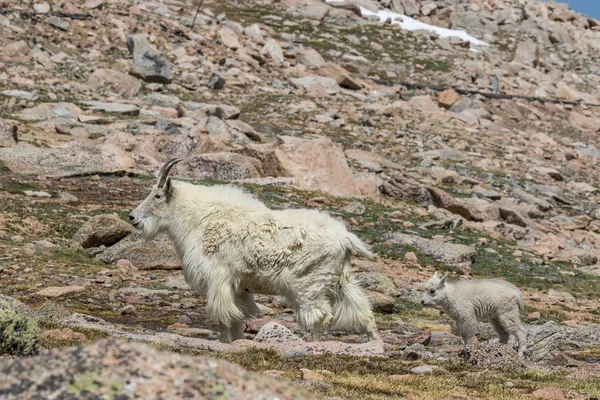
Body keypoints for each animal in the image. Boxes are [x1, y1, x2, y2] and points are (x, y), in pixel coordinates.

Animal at [130, 159, 380, 344]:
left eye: (157, 196)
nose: (132, 217)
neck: (198, 219)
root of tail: (346, 239)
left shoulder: (218, 278)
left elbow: (224, 317)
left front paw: (226, 343)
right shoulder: (239, 286)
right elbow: (238, 317)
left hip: (309, 284)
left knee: (321, 316)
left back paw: (315, 345)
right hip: (341, 280)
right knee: (364, 312)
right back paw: (375, 345)